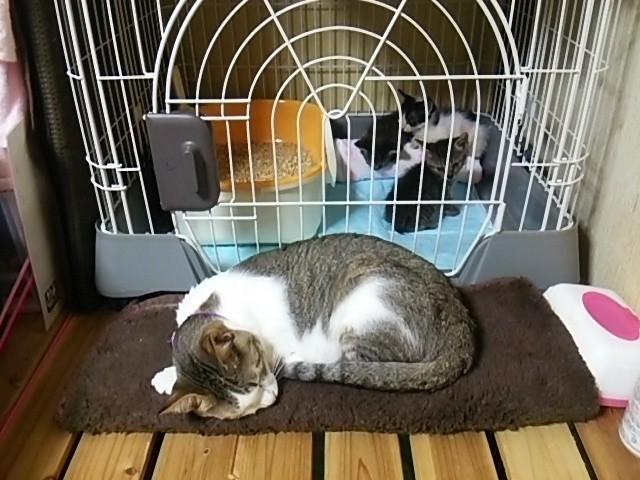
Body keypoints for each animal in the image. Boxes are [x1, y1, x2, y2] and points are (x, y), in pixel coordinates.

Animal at [152, 234, 475, 419]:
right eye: (245, 410)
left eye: (259, 372)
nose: (272, 398)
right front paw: (165, 376)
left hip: (362, 305)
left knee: (358, 364)